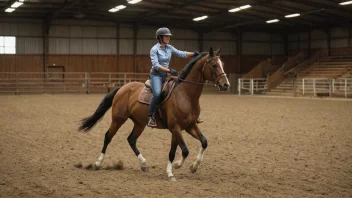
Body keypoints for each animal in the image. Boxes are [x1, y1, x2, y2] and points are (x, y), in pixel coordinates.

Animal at [78, 47, 230, 181]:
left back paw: (144, 164)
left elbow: (200, 143)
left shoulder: (188, 127)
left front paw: (191, 167)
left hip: (140, 123)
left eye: (223, 64)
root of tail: (122, 88)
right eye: (214, 65)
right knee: (108, 137)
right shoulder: (175, 128)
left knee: (131, 139)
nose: (226, 85)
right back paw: (97, 163)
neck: (185, 94)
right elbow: (184, 150)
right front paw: (176, 166)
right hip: (118, 119)